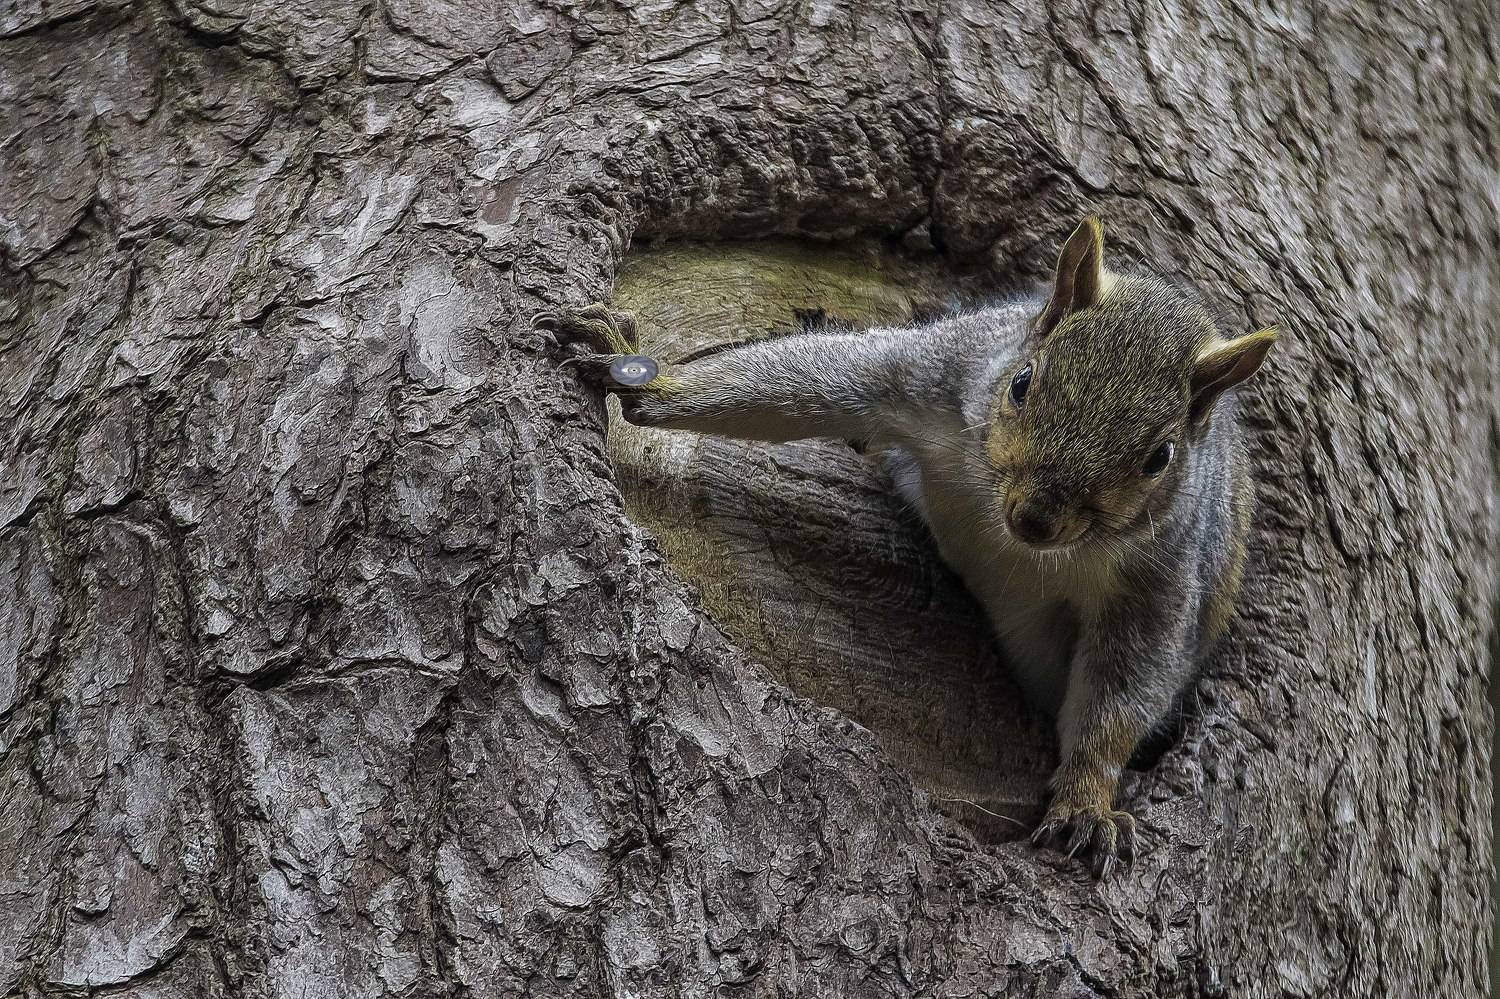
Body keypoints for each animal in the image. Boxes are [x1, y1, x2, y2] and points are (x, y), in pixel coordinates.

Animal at [540, 217, 1277, 878]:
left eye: (1160, 458)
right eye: (1022, 383)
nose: (1036, 519)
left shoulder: (1160, 578)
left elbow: (1126, 684)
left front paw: (1088, 799)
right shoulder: (935, 374)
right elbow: (811, 380)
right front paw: (643, 381)